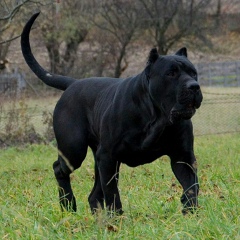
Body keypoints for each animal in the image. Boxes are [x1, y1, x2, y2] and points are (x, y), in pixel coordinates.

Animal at [20, 12, 202, 216]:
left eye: (193, 73)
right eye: (171, 73)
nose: (194, 86)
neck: (156, 117)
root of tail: (73, 83)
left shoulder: (183, 156)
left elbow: (192, 185)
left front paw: (190, 211)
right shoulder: (108, 157)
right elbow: (112, 193)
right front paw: (117, 218)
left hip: (95, 156)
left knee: (93, 194)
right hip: (74, 149)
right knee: (59, 168)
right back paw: (68, 205)